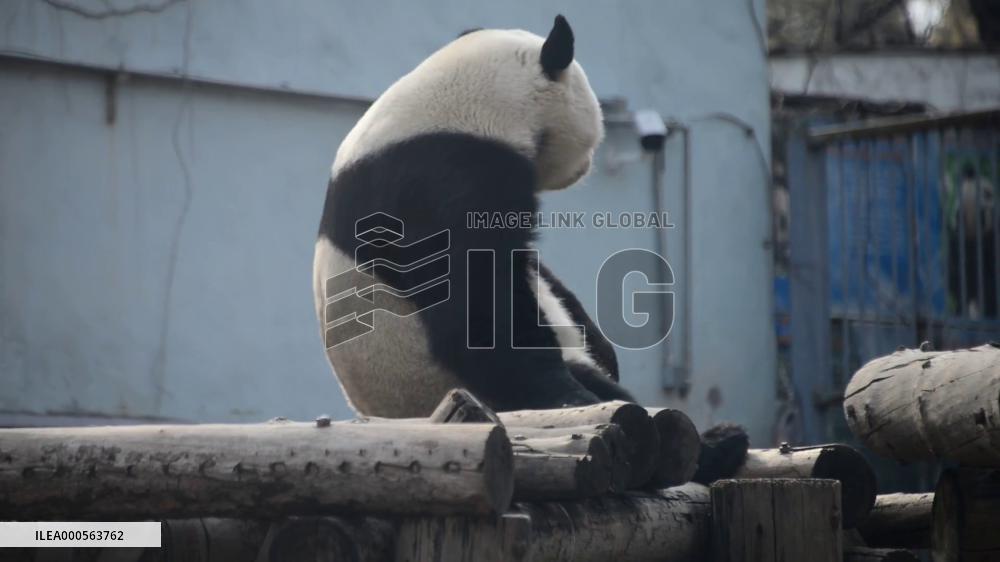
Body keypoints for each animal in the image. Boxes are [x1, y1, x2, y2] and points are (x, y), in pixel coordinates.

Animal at [312, 15, 636, 418]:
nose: (586, 166)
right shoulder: (448, 180)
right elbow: (476, 305)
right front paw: (571, 396)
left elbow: (532, 267)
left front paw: (604, 349)